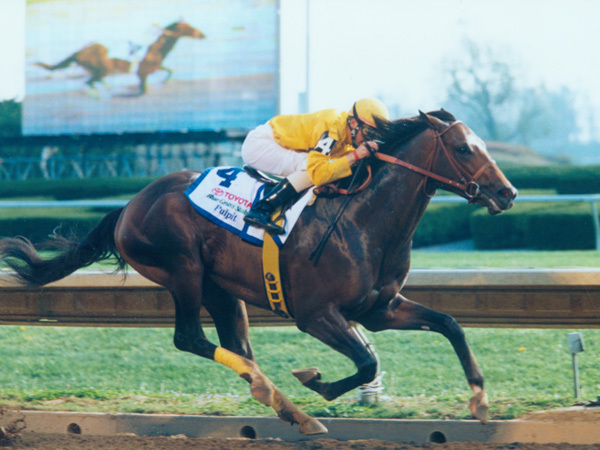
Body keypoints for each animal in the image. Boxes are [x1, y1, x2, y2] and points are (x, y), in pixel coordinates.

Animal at [0, 110, 516, 434]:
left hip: (221, 289)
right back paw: (282, 397)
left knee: (235, 347)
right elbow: (367, 362)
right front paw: (316, 380)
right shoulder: (316, 315)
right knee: (189, 338)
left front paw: (479, 400)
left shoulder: (379, 309)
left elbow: (449, 324)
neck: (364, 219)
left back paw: (288, 408)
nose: (507, 193)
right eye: (463, 148)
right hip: (183, 269)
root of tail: (128, 207)